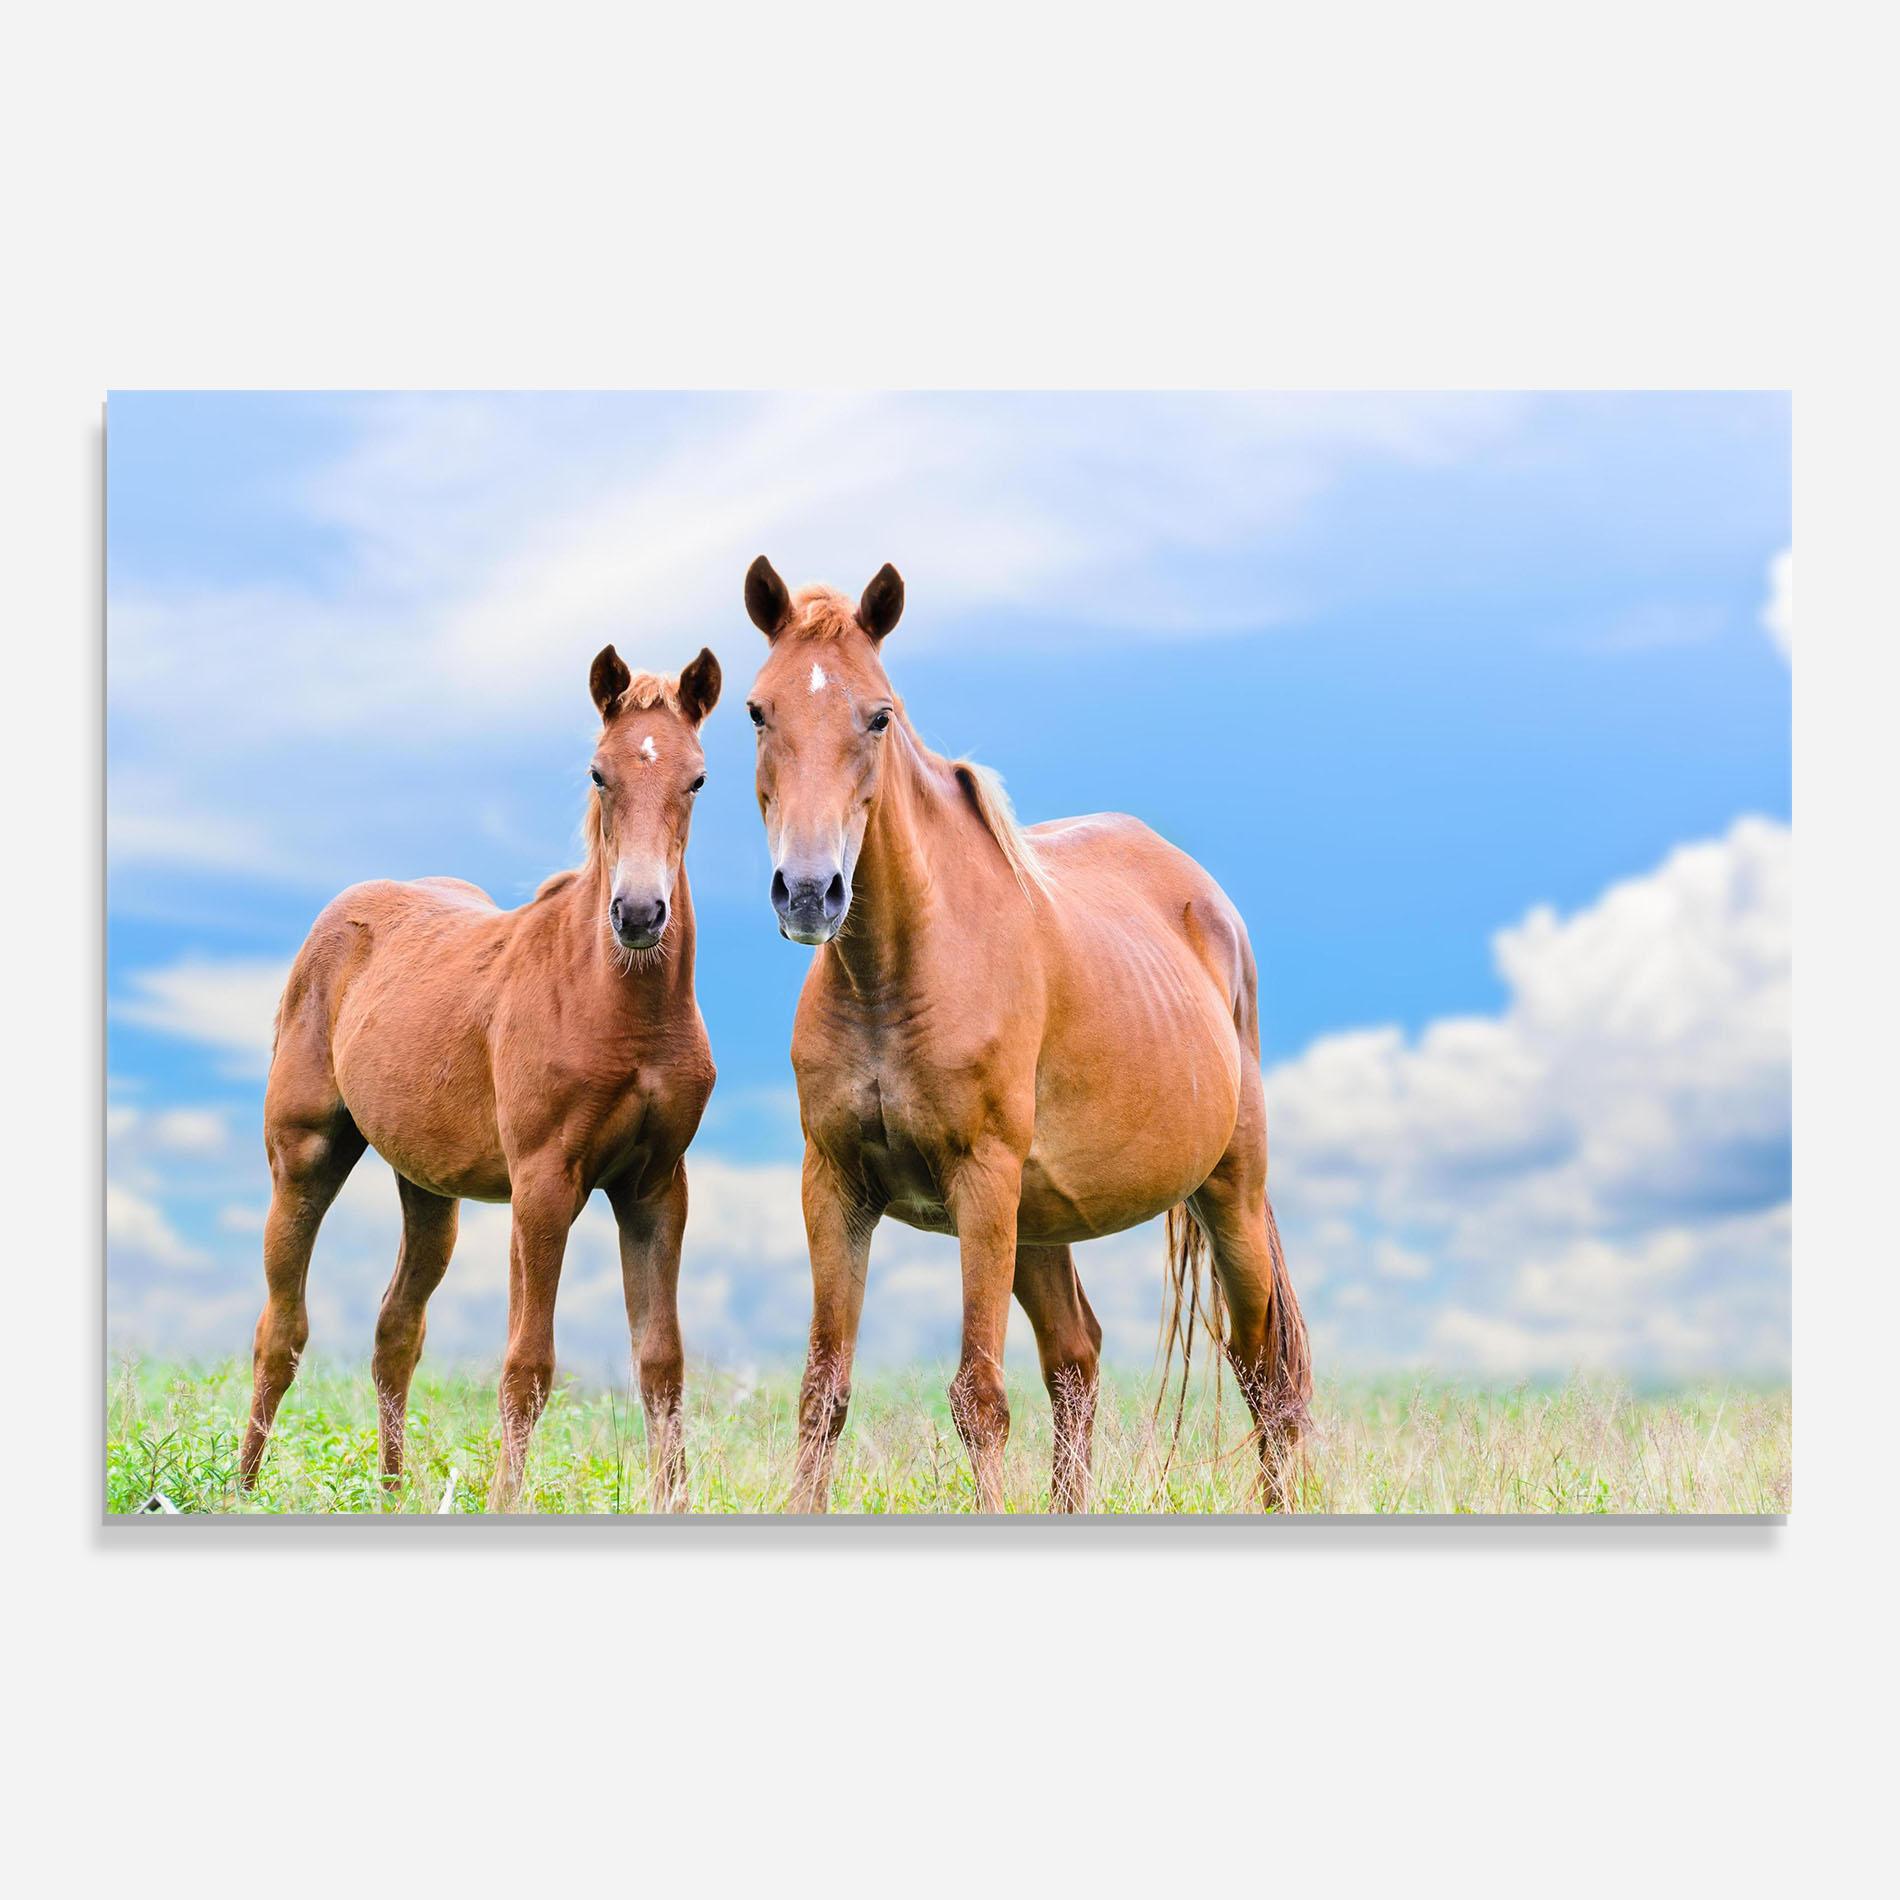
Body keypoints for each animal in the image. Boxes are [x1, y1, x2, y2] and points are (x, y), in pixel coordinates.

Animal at [237, 645, 723, 1511]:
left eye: (697, 778)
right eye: (599, 773)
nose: (638, 914)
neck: (620, 1006)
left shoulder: (657, 1186)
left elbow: (662, 1364)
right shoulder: (544, 1183)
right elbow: (528, 1365)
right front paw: (506, 1501)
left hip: (428, 1187)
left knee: (397, 1329)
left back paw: (393, 1494)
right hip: (304, 1156)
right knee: (280, 1331)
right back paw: (242, 1489)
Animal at [742, 558, 1311, 1513]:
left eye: (879, 714)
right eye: (756, 710)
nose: (810, 893)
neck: (897, 971)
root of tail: (1209, 902)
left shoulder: (982, 1181)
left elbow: (979, 1398)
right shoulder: (836, 1189)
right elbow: (823, 1393)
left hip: (1224, 1195)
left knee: (1264, 1371)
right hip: (1041, 1220)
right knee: (1078, 1363)